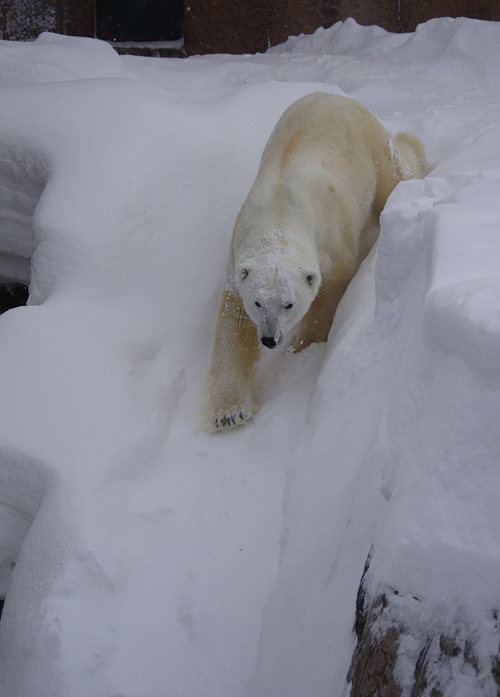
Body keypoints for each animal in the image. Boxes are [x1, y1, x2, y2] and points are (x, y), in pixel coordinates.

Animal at [205, 92, 428, 430]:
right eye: (258, 302)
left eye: (289, 303)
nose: (269, 339)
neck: (280, 215)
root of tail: (334, 96)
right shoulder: (238, 251)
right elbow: (235, 321)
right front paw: (230, 413)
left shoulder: (333, 239)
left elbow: (330, 294)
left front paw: (303, 350)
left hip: (372, 151)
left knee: (396, 173)